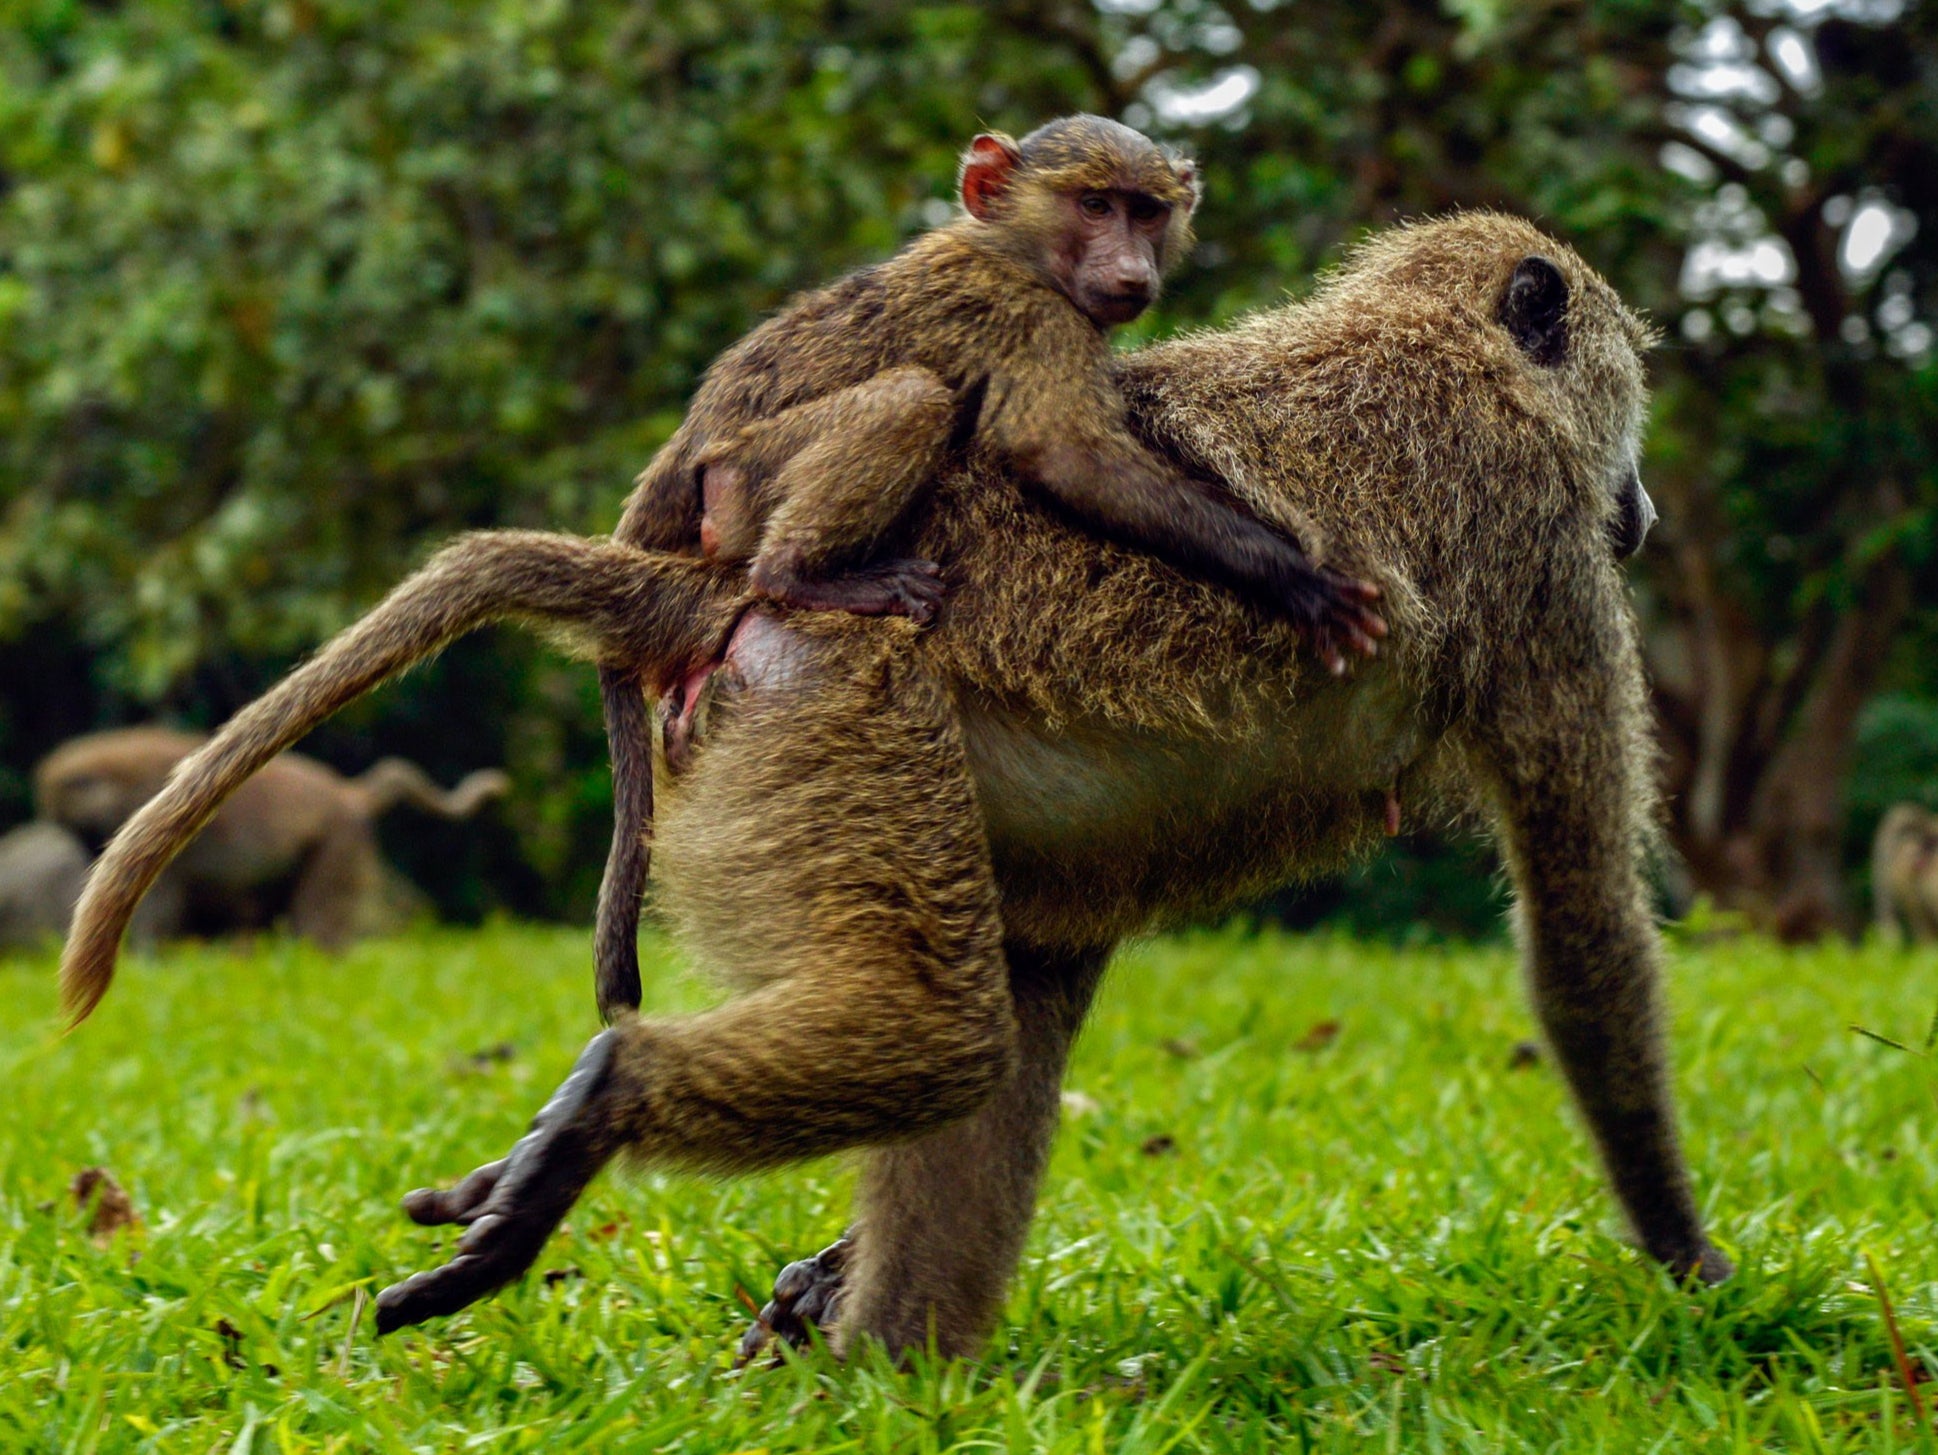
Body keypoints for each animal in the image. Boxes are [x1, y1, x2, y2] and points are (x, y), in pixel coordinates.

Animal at [60, 216, 1728, 1363]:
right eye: (1628, 419)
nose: (1644, 508)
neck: (1439, 350)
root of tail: (716, 587)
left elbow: (1048, 967)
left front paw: (826, 1290)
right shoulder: (1548, 569)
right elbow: (1582, 937)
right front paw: (1696, 1269)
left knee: (984, 1037)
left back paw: (880, 1363)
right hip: (833, 702)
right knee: (946, 1034)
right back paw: (616, 1105)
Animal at [581, 113, 1387, 1022]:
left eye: (1145, 211)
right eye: (1095, 205)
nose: (1131, 269)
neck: (1012, 247)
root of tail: (686, 453)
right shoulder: (1035, 319)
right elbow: (1070, 457)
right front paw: (1294, 579)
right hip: (745, 481)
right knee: (910, 399)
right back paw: (802, 577)